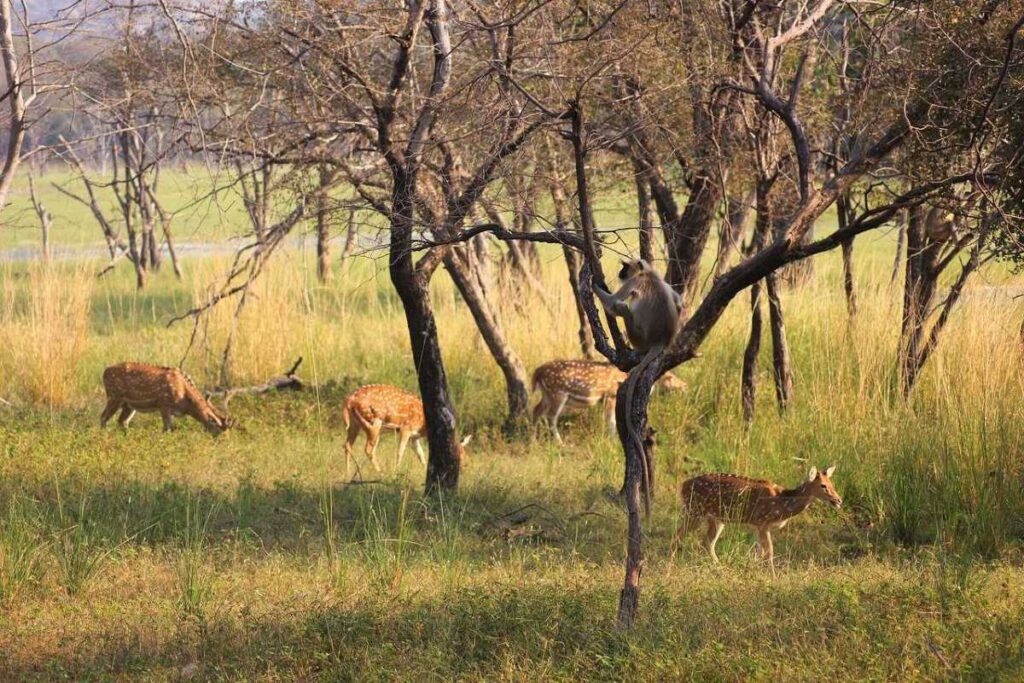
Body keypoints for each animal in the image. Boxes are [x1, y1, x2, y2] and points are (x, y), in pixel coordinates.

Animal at [595, 259, 681, 502]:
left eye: (626, 266)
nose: (621, 271)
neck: (648, 274)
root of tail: (661, 341)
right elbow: (679, 300)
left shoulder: (634, 282)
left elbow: (613, 303)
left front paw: (593, 283)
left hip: (638, 335)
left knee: (624, 309)